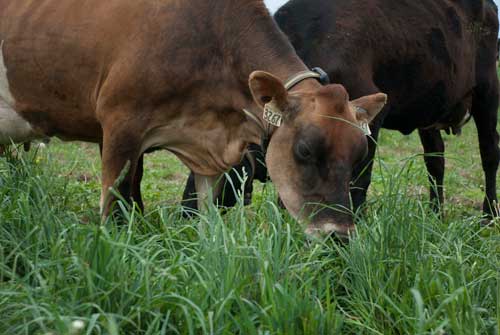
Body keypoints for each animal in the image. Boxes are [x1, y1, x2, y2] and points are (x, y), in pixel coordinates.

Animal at [0, 0, 386, 236]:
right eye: (304, 151)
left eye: (360, 155)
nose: (339, 235)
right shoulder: (119, 128)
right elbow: (114, 207)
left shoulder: (210, 154)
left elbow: (206, 220)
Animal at [184, 0, 500, 220]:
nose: (186, 212)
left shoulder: (370, 116)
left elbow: (359, 181)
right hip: (429, 109)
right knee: (436, 160)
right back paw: (435, 214)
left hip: (487, 89)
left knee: (489, 154)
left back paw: (489, 214)